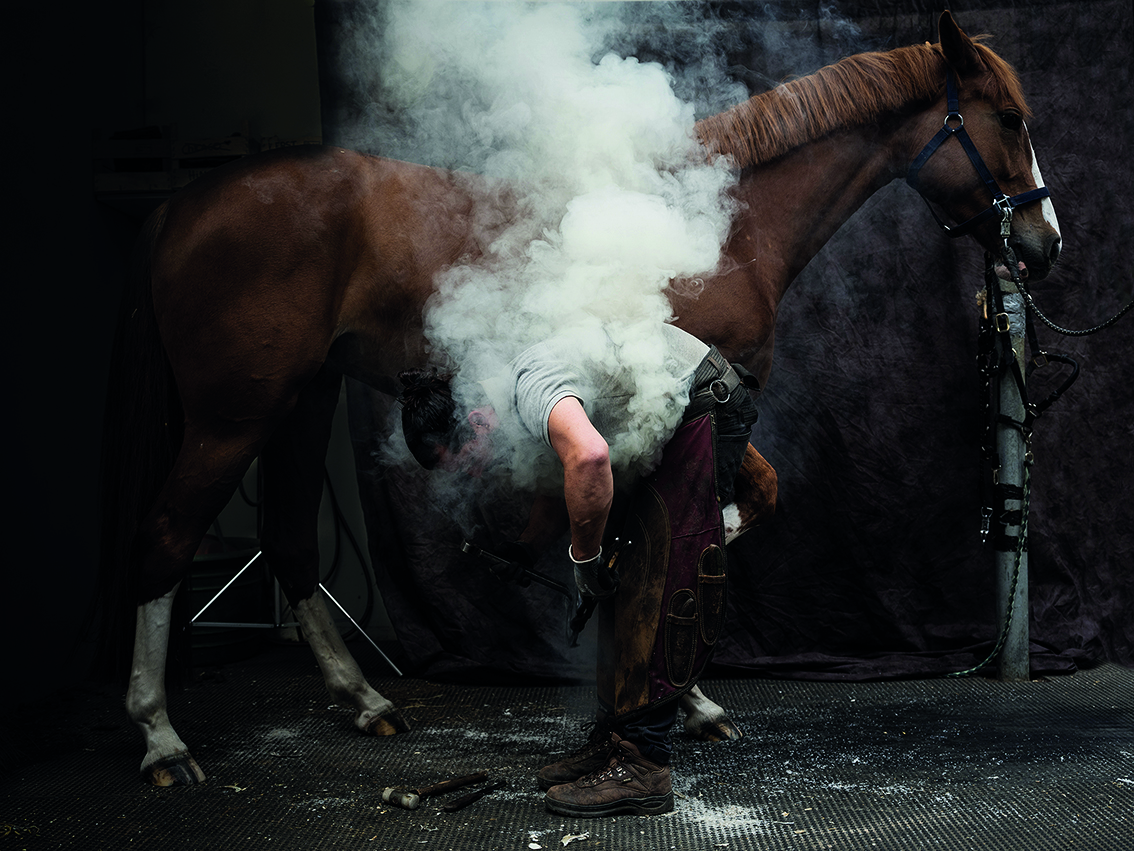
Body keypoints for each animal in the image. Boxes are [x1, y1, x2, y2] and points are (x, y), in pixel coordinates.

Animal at [102, 13, 1056, 785]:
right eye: (1010, 120)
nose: (1043, 242)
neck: (720, 220)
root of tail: (181, 204)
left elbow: (714, 512)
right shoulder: (691, 401)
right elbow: (699, 522)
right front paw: (683, 688)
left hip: (300, 401)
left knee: (290, 540)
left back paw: (363, 698)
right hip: (234, 416)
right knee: (168, 537)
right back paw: (161, 737)